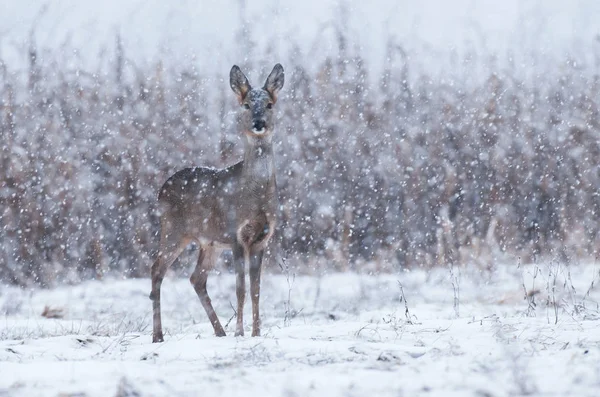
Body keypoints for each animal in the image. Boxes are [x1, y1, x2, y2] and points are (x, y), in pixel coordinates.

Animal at [148, 63, 284, 342]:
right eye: (246, 104)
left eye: (269, 104)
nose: (258, 123)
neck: (256, 197)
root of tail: (161, 189)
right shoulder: (236, 234)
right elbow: (241, 288)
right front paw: (240, 332)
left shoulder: (263, 238)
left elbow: (256, 289)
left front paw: (256, 332)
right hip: (174, 230)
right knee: (157, 269)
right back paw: (158, 336)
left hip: (208, 242)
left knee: (196, 278)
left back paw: (219, 331)